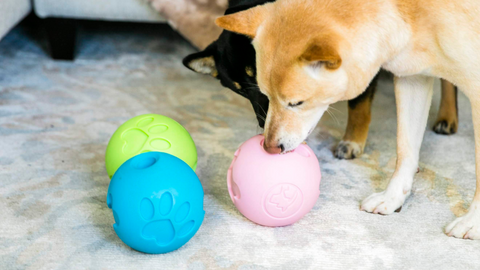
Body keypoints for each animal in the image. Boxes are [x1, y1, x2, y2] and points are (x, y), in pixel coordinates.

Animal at [217, 0, 480, 239]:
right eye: (266, 94)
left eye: (296, 103)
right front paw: (392, 197)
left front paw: (472, 223)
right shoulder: (412, 77)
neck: (409, 11)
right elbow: (405, 150)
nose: (269, 148)